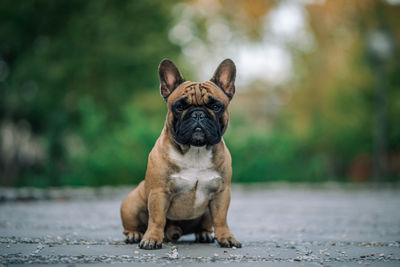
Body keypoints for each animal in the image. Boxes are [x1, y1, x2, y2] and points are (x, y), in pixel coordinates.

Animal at [120, 57, 241, 250]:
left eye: (216, 106)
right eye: (180, 106)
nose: (198, 113)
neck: (196, 150)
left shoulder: (221, 193)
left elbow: (221, 218)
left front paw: (226, 237)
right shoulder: (159, 192)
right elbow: (157, 218)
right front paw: (151, 239)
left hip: (207, 212)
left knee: (207, 223)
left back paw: (204, 234)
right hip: (132, 202)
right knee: (133, 223)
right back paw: (134, 234)